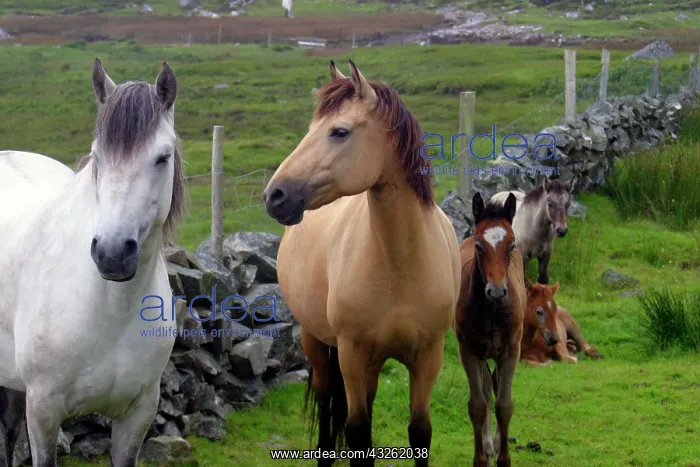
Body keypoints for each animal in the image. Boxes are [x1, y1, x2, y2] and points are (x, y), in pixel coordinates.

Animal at [0, 57, 185, 467]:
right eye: (97, 156)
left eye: (162, 157)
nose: (112, 253)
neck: (110, 310)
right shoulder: (43, 411)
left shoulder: (137, 415)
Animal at [262, 60, 461, 466]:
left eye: (339, 132)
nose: (275, 196)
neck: (399, 262)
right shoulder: (352, 354)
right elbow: (356, 432)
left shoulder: (428, 356)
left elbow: (420, 431)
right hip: (317, 344)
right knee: (326, 404)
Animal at [454, 192, 525, 467]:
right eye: (479, 246)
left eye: (511, 245)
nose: (495, 291)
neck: (492, 311)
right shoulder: (468, 351)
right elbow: (478, 406)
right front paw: (481, 458)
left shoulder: (511, 351)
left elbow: (504, 405)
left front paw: (503, 458)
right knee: (485, 389)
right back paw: (487, 443)